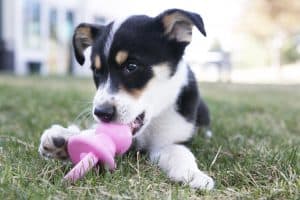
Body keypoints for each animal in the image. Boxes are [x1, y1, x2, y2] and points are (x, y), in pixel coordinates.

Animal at [38, 9, 214, 190]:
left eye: (131, 67)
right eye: (97, 71)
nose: (101, 113)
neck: (151, 125)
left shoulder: (170, 140)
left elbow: (180, 153)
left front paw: (193, 175)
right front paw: (64, 139)